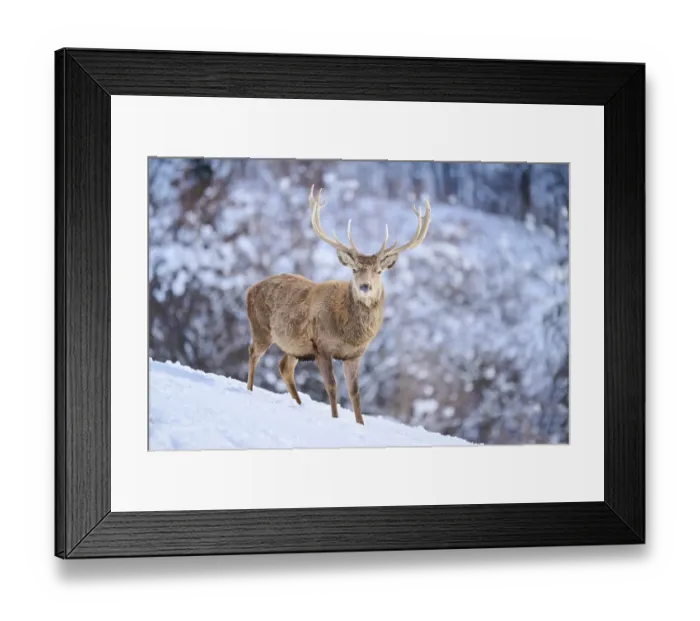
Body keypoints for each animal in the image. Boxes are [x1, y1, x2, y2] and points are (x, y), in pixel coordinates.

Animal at [245, 185, 431, 425]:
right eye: (354, 269)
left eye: (379, 271)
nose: (364, 286)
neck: (349, 332)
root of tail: (250, 290)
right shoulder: (322, 345)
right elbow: (332, 386)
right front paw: (334, 418)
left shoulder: (354, 354)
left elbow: (355, 392)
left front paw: (360, 424)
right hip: (261, 327)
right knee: (253, 353)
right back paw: (249, 390)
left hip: (295, 346)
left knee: (284, 366)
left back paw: (299, 404)